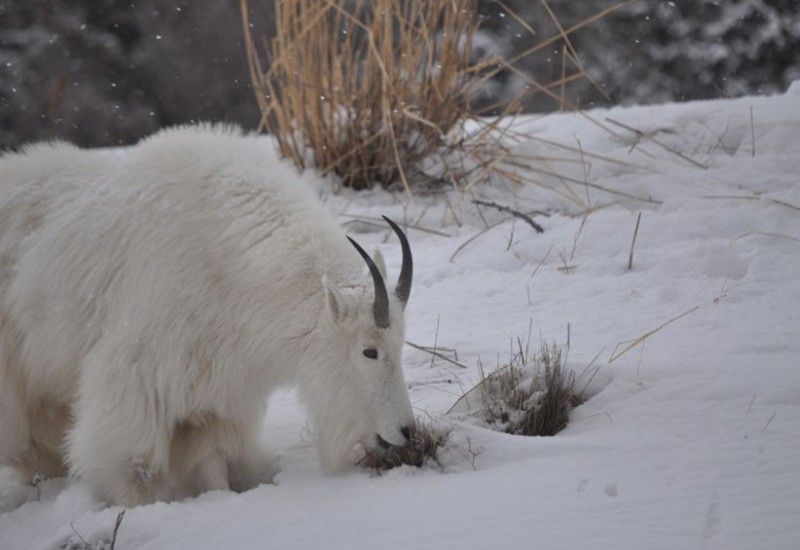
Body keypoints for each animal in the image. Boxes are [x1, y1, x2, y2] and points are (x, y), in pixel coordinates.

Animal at [1, 125, 418, 508]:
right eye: (369, 351)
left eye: (399, 346)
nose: (406, 432)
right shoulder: (137, 373)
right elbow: (133, 464)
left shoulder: (218, 393)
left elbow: (211, 459)